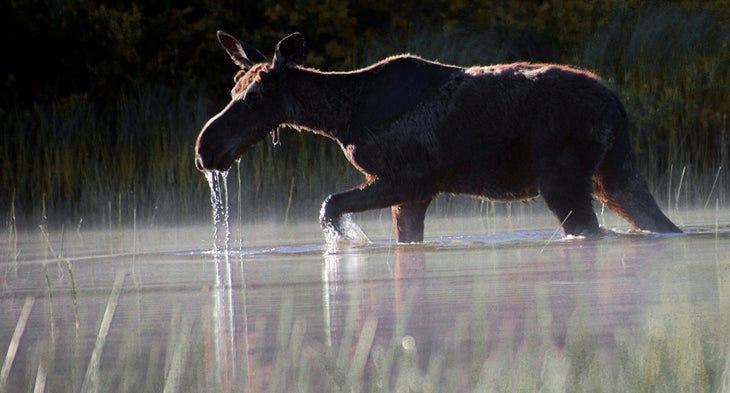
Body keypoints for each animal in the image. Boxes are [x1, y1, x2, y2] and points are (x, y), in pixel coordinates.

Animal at [195, 30, 684, 242]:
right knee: (660, 224)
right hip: (614, 172)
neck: (342, 120)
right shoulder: (417, 192)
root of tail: (618, 105)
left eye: (254, 94)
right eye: (234, 87)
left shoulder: (409, 178)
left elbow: (330, 205)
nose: (205, 149)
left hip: (562, 178)